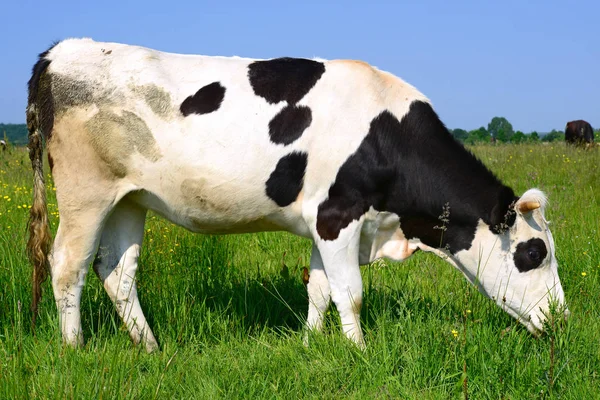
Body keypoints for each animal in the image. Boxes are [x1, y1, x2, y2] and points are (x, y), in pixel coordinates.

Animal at [24, 37, 568, 350]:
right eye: (534, 253)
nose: (562, 320)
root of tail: (63, 48)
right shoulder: (338, 215)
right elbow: (350, 294)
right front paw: (359, 353)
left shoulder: (324, 223)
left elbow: (319, 289)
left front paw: (310, 346)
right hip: (85, 190)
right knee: (67, 264)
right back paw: (73, 348)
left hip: (128, 199)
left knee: (116, 271)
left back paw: (150, 348)